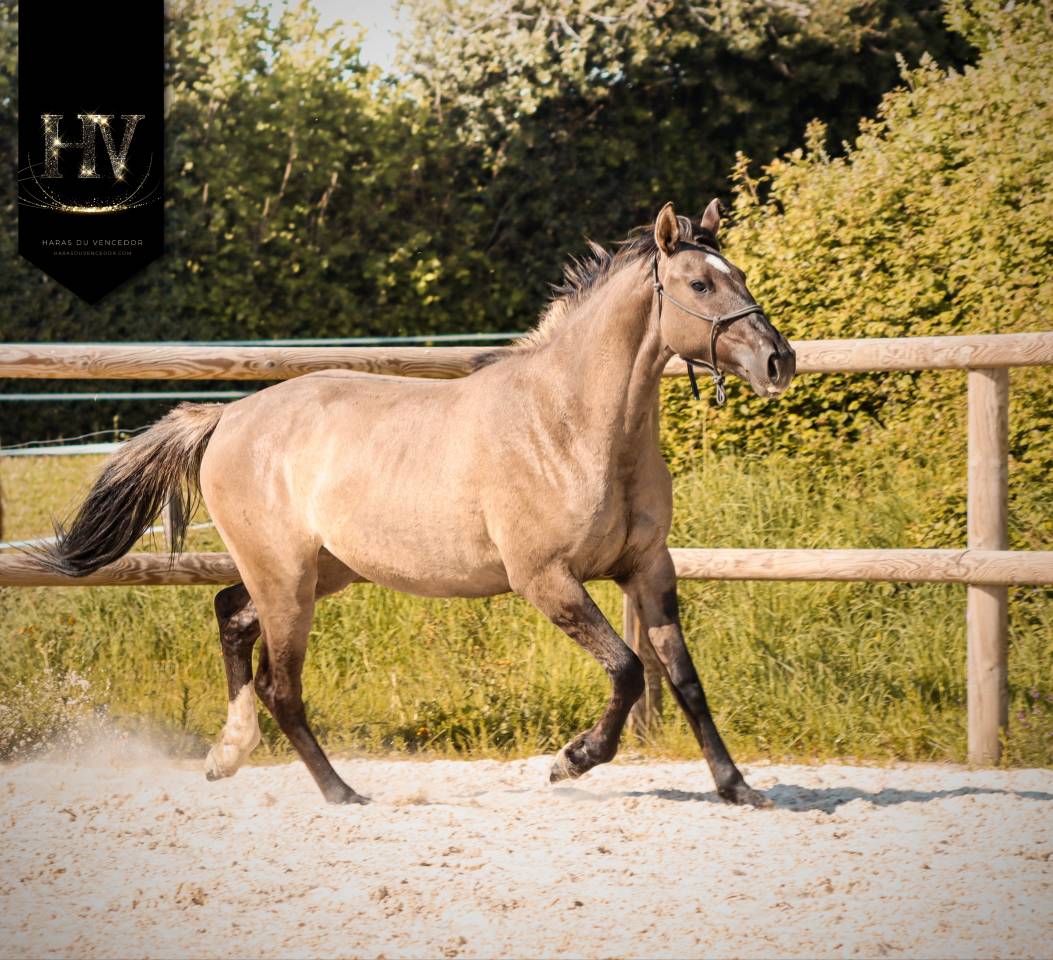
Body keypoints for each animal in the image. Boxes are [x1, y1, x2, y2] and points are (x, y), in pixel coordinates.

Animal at [38, 200, 795, 807]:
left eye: (741, 275)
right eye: (700, 283)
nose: (777, 361)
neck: (572, 424)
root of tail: (226, 417)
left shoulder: (649, 569)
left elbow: (684, 679)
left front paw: (738, 788)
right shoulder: (545, 578)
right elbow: (629, 669)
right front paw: (571, 760)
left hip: (320, 572)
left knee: (230, 616)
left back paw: (228, 754)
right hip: (287, 579)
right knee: (279, 682)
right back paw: (340, 792)